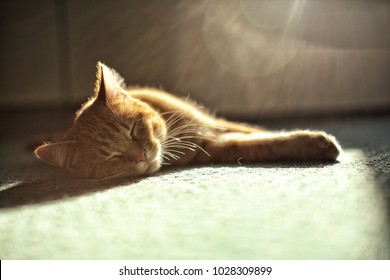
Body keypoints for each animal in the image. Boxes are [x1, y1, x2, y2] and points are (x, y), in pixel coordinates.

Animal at [34, 62, 342, 179]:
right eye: (111, 158)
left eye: (133, 129)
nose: (142, 154)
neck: (177, 136)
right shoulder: (217, 145)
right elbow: (265, 143)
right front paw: (316, 143)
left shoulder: (214, 125)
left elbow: (257, 131)